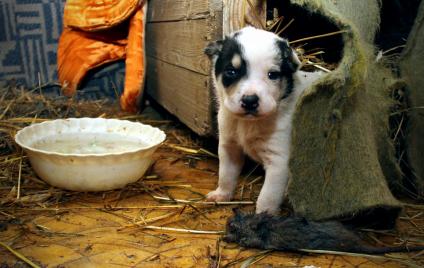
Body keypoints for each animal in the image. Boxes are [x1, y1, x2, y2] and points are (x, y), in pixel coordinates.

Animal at [205, 27, 322, 215]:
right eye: (231, 71)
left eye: (272, 75)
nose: (250, 100)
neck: (248, 124)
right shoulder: (229, 148)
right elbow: (225, 175)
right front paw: (221, 194)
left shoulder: (279, 162)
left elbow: (267, 198)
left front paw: (262, 217)